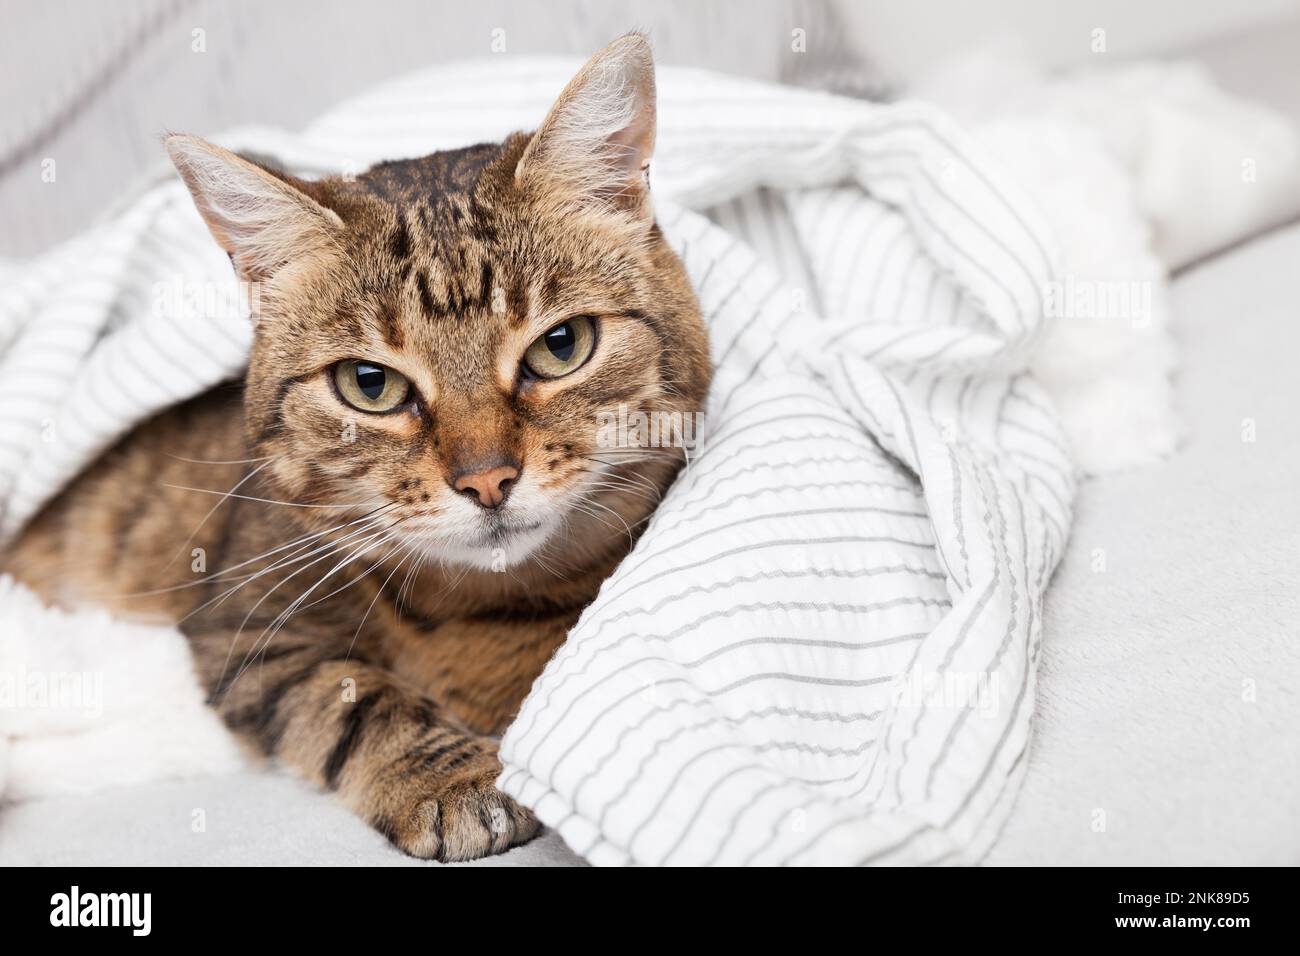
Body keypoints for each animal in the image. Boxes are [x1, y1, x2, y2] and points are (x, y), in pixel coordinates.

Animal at [2, 33, 712, 863]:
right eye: (370, 384)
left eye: (561, 345)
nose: (487, 479)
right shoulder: (245, 627)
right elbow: (354, 698)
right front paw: (452, 777)